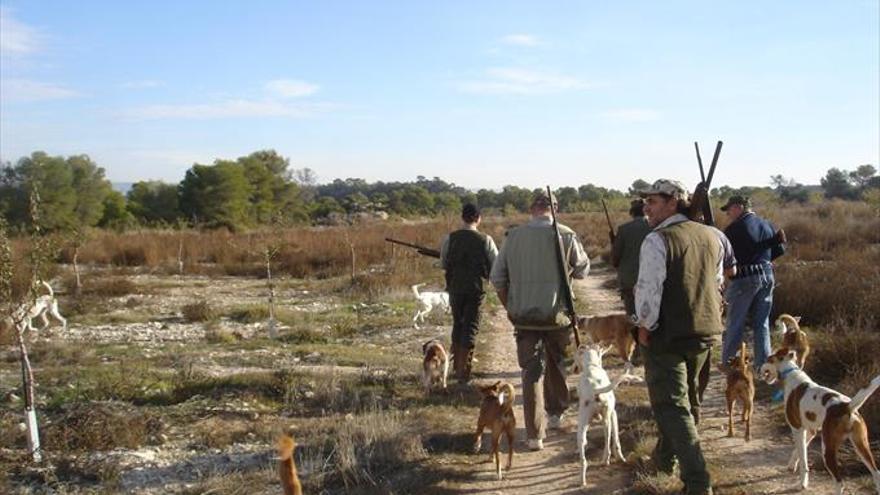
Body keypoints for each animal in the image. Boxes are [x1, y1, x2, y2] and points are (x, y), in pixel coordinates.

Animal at [572, 342, 632, 486]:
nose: (574, 368)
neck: (591, 367)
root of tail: (594, 389)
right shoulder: (614, 414)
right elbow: (616, 440)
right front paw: (621, 457)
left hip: (582, 427)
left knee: (583, 457)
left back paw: (582, 480)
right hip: (607, 420)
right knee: (608, 441)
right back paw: (606, 460)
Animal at [756, 346, 880, 494]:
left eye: (768, 359)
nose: (757, 369)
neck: (791, 373)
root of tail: (846, 406)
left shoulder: (797, 429)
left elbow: (803, 460)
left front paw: (802, 483)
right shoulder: (811, 431)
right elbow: (798, 451)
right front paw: (791, 465)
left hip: (827, 449)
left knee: (839, 482)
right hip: (861, 445)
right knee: (876, 473)